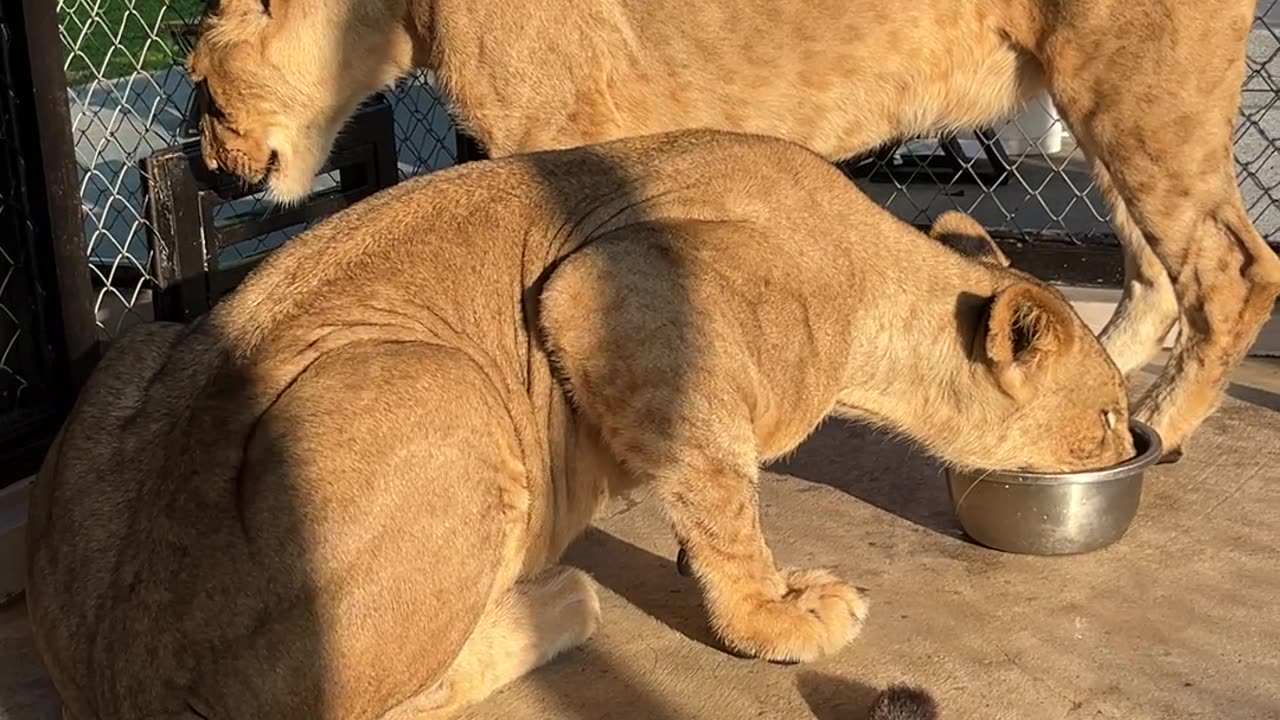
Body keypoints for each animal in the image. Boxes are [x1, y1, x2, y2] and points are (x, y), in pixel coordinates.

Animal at [27, 131, 1132, 720]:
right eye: (1111, 412)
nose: (1141, 447)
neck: (880, 305)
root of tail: (126, 680)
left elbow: (706, 495)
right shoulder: (609, 292)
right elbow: (723, 494)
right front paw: (773, 614)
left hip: (141, 347)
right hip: (447, 391)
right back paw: (551, 604)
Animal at [184, 0, 1280, 459]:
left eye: (195, 76)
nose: (199, 165)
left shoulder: (555, 135)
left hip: (1137, 83)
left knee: (1231, 269)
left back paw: (1159, 426)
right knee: (1155, 272)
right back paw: (1100, 385)